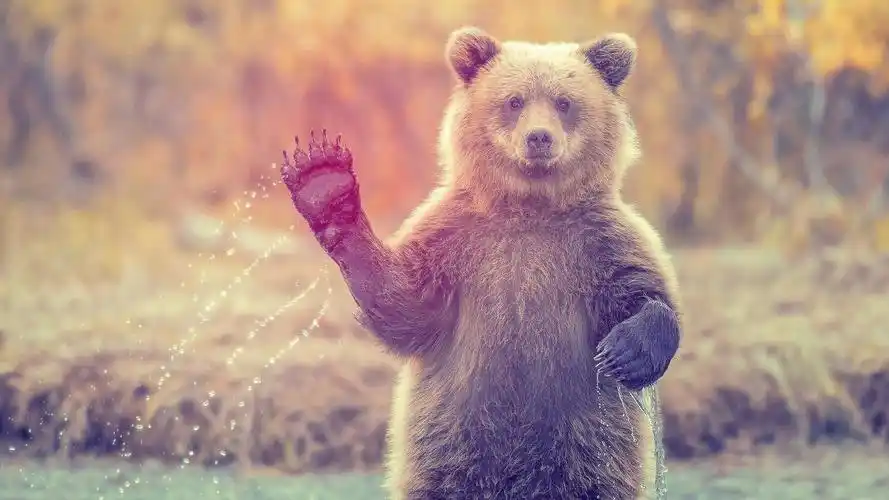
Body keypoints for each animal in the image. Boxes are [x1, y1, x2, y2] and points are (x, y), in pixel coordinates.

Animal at [279, 26, 682, 500]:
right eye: (514, 101)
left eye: (564, 102)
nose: (539, 138)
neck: (530, 210)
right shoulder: (458, 240)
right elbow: (407, 306)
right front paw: (325, 184)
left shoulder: (597, 242)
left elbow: (642, 292)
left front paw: (625, 352)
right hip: (450, 449)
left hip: (590, 450)